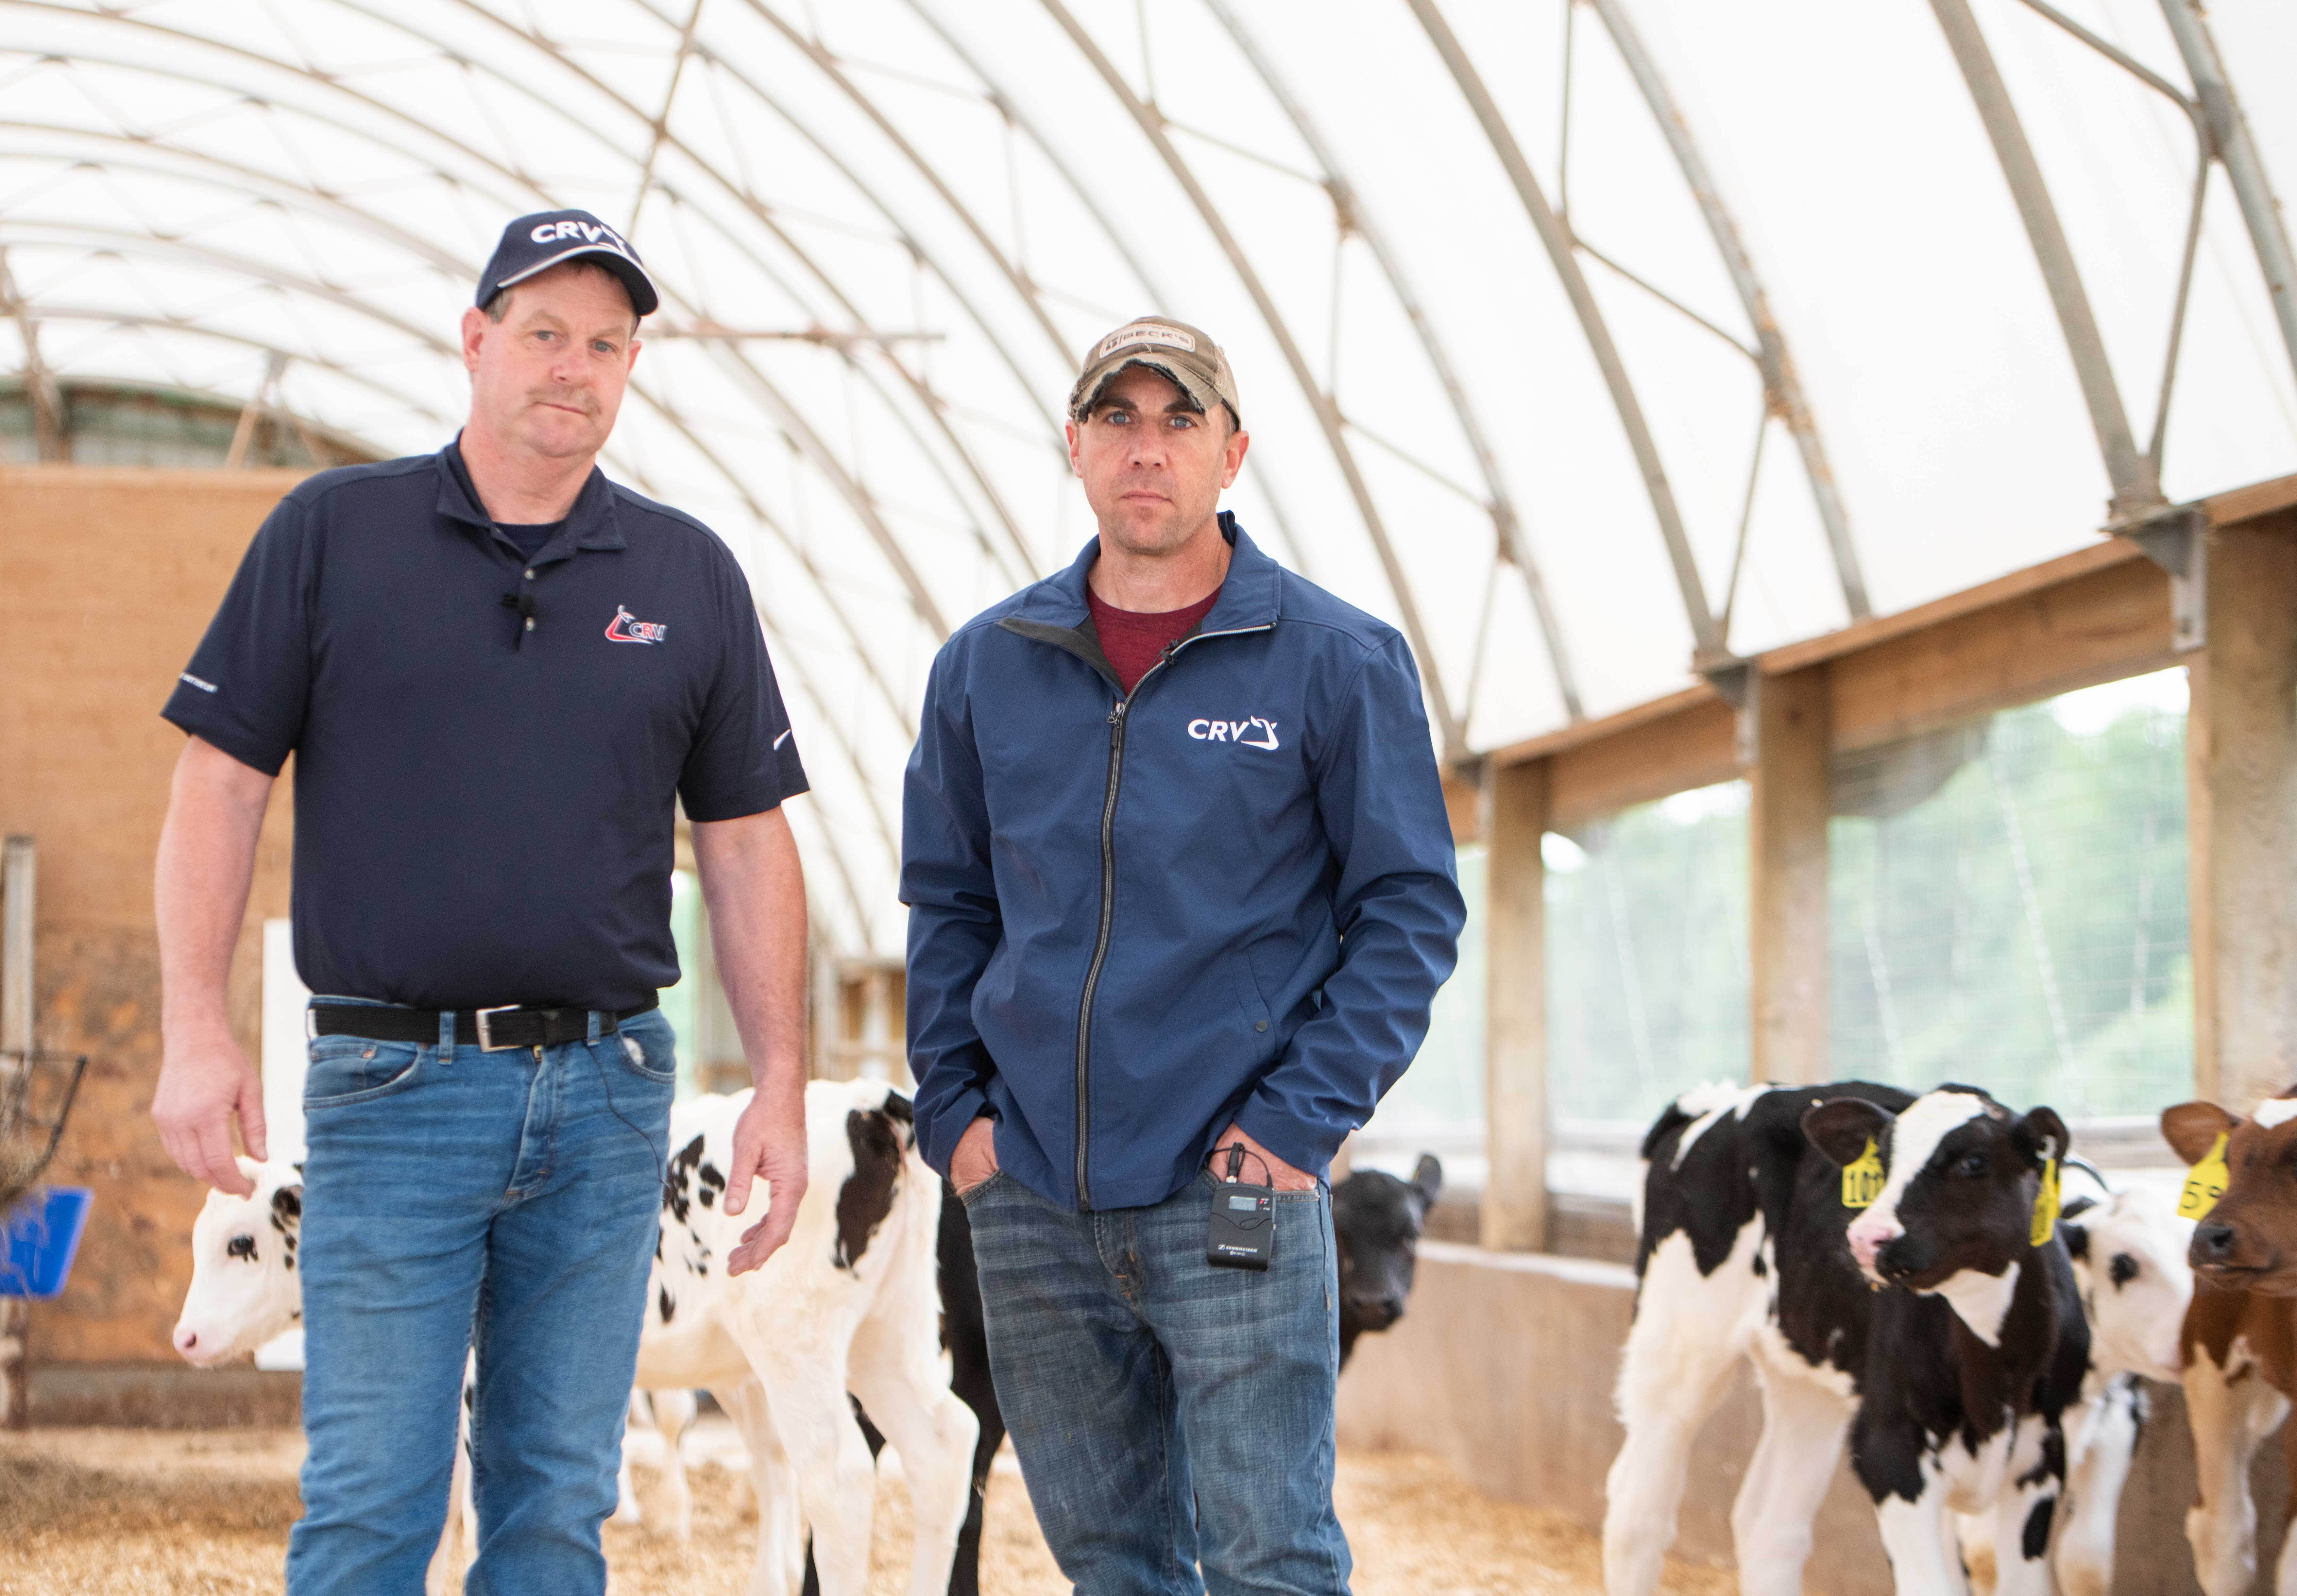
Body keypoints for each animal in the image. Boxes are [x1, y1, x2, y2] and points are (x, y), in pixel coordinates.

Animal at [1608, 1079, 2095, 1589]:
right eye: (1883, 1160)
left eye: (1974, 1162)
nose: (1865, 1236)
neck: (1991, 1382)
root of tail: (1717, 1100)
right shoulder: (1890, 1450)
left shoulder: (2044, 1458)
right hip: (1677, 1339)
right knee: (1637, 1511)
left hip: (1805, 1380)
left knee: (1771, 1525)